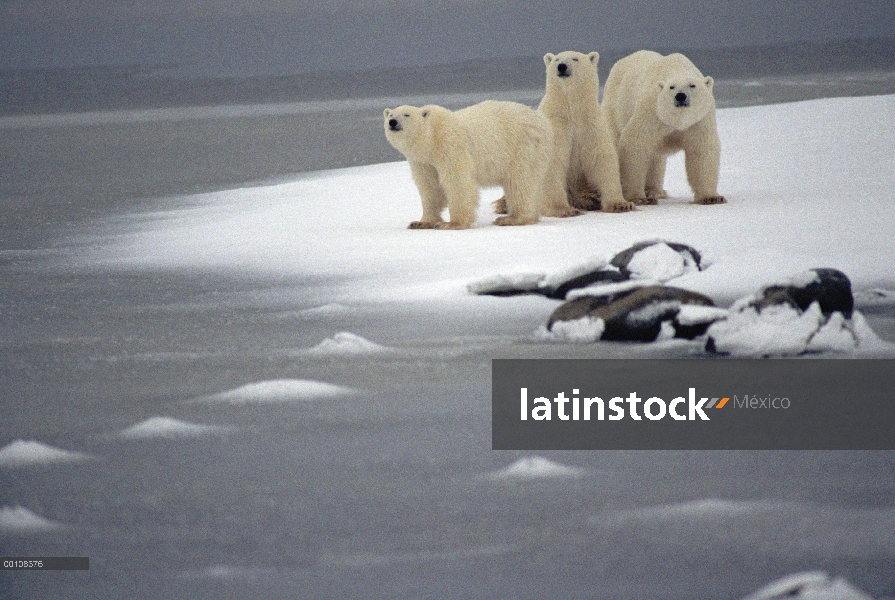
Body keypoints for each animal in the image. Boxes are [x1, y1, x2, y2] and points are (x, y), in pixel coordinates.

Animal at [384, 101, 552, 227]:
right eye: (391, 114)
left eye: (407, 114)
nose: (392, 122)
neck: (431, 140)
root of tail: (542, 121)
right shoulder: (422, 162)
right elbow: (430, 187)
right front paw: (421, 222)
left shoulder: (450, 146)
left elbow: (458, 182)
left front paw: (452, 223)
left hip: (523, 147)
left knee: (520, 182)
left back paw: (512, 218)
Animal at [600, 49, 728, 204]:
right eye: (671, 87)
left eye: (692, 85)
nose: (680, 96)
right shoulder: (653, 110)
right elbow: (636, 143)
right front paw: (638, 197)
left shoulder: (699, 119)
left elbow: (702, 149)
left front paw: (711, 197)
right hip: (615, 106)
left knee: (656, 158)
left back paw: (654, 191)